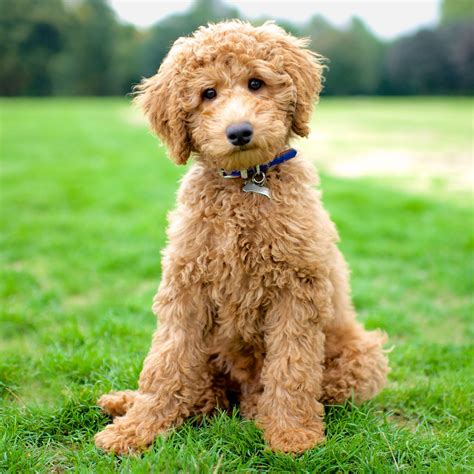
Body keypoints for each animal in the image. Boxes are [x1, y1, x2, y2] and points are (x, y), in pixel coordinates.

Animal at [93, 19, 388, 456]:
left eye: (255, 83)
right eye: (208, 93)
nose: (239, 132)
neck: (246, 185)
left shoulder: (296, 291)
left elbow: (291, 369)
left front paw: (292, 435)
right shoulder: (186, 287)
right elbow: (166, 363)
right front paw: (137, 429)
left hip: (362, 353)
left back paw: (257, 412)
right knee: (202, 392)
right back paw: (125, 402)